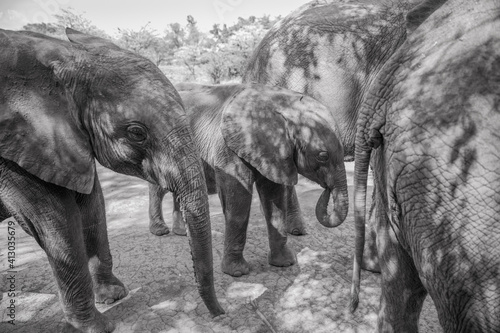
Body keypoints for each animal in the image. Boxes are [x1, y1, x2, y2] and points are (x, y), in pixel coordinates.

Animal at [0, 29, 223, 332]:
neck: (62, 56)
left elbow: (93, 206)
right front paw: (96, 326)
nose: (220, 313)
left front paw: (113, 295)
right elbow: (55, 220)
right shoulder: (16, 151)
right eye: (137, 133)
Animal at [148, 82, 348, 274]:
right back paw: (161, 231)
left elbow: (274, 198)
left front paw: (284, 263)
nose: (326, 189)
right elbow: (239, 201)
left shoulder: (274, 151)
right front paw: (237, 272)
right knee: (159, 189)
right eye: (323, 156)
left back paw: (181, 232)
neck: (280, 101)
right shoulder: (228, 148)